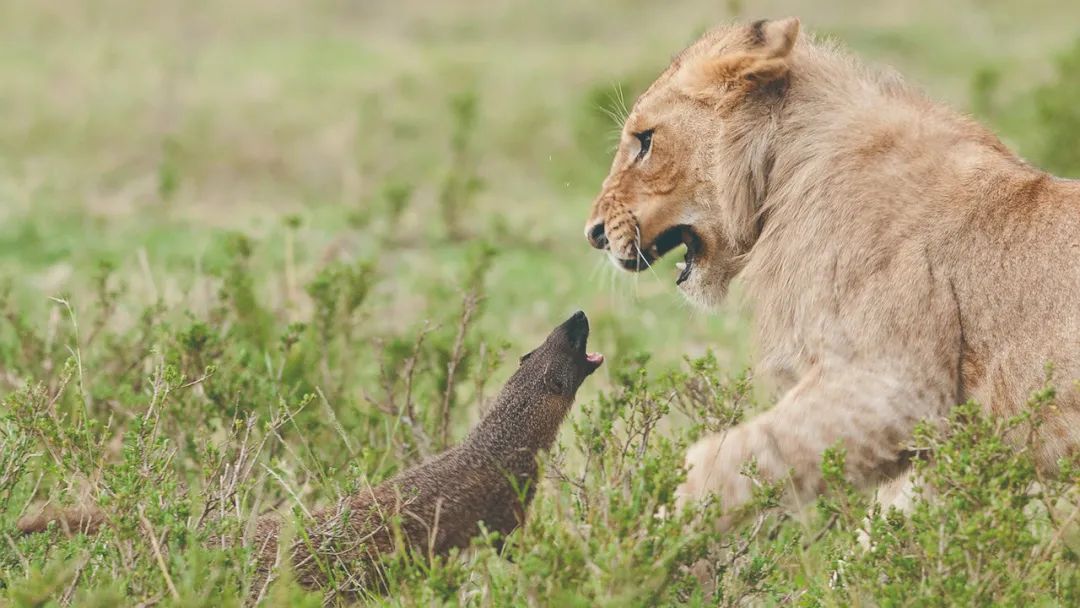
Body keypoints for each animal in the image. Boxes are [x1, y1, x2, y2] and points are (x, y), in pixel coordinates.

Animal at [583, 16, 1080, 524]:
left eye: (645, 141)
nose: (594, 233)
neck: (785, 172)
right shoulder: (944, 439)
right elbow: (886, 528)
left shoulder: (897, 388)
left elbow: (724, 459)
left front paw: (640, 529)